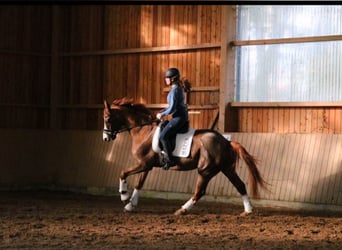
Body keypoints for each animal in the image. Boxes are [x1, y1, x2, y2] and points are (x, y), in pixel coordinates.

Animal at [103, 96, 268, 216]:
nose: (105, 138)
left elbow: (123, 173)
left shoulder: (143, 164)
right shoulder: (146, 165)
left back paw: (182, 210)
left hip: (205, 171)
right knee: (240, 185)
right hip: (227, 169)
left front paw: (124, 196)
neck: (144, 130)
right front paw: (130, 205)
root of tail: (226, 142)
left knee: (200, 192)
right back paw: (248, 210)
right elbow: (139, 184)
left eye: (107, 118)